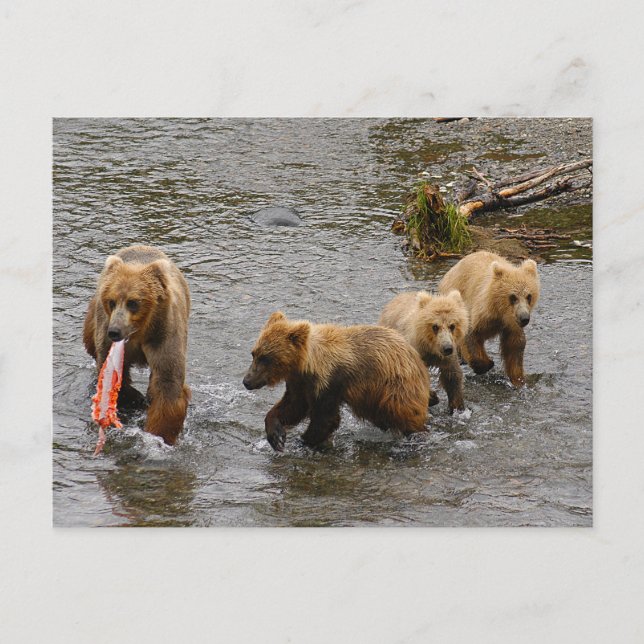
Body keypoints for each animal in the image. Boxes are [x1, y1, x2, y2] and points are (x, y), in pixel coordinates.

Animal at [83, 245, 191, 445]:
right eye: (112, 301)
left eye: (133, 302)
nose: (115, 331)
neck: (139, 333)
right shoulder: (108, 337)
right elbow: (115, 377)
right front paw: (134, 401)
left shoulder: (162, 335)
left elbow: (168, 382)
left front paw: (160, 435)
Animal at [242, 311, 430, 451]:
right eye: (254, 354)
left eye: (266, 358)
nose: (247, 381)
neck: (308, 365)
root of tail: (417, 359)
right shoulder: (300, 383)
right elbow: (292, 406)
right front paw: (276, 436)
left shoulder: (330, 383)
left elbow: (325, 419)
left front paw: (302, 441)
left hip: (395, 389)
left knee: (405, 414)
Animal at [438, 251, 540, 386]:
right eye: (513, 297)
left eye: (529, 296)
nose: (524, 318)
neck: (498, 313)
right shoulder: (478, 313)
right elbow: (470, 337)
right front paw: (486, 364)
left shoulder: (511, 324)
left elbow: (514, 345)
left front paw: (518, 379)